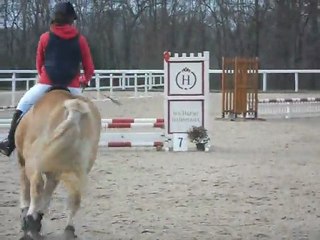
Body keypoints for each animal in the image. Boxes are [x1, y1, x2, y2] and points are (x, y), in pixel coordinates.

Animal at [15, 87, 101, 238]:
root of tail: (74, 109)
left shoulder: (23, 161)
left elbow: (26, 189)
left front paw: (27, 216)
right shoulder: (55, 171)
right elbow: (47, 195)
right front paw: (39, 217)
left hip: (33, 162)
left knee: (36, 186)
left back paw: (30, 223)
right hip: (79, 168)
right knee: (75, 197)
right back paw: (68, 230)